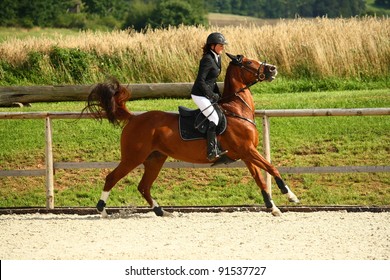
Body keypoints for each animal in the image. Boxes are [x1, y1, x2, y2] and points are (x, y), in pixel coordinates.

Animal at [84, 53, 298, 218]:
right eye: (249, 62)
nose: (273, 69)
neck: (237, 110)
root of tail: (134, 118)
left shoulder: (246, 154)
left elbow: (260, 179)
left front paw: (273, 208)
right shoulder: (248, 150)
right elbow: (272, 168)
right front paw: (290, 196)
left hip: (155, 159)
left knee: (143, 186)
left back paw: (162, 212)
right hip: (133, 157)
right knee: (112, 178)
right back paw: (102, 211)